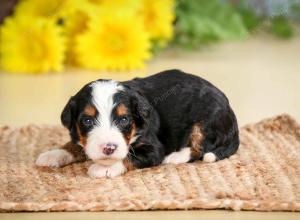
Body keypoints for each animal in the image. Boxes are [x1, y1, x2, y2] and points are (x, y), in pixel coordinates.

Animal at [36, 69, 239, 178]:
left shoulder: (154, 148)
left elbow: (130, 156)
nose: (109, 148)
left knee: (200, 148)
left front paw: (104, 168)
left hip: (205, 122)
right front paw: (54, 154)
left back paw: (174, 157)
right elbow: (75, 144)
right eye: (87, 120)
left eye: (124, 119)